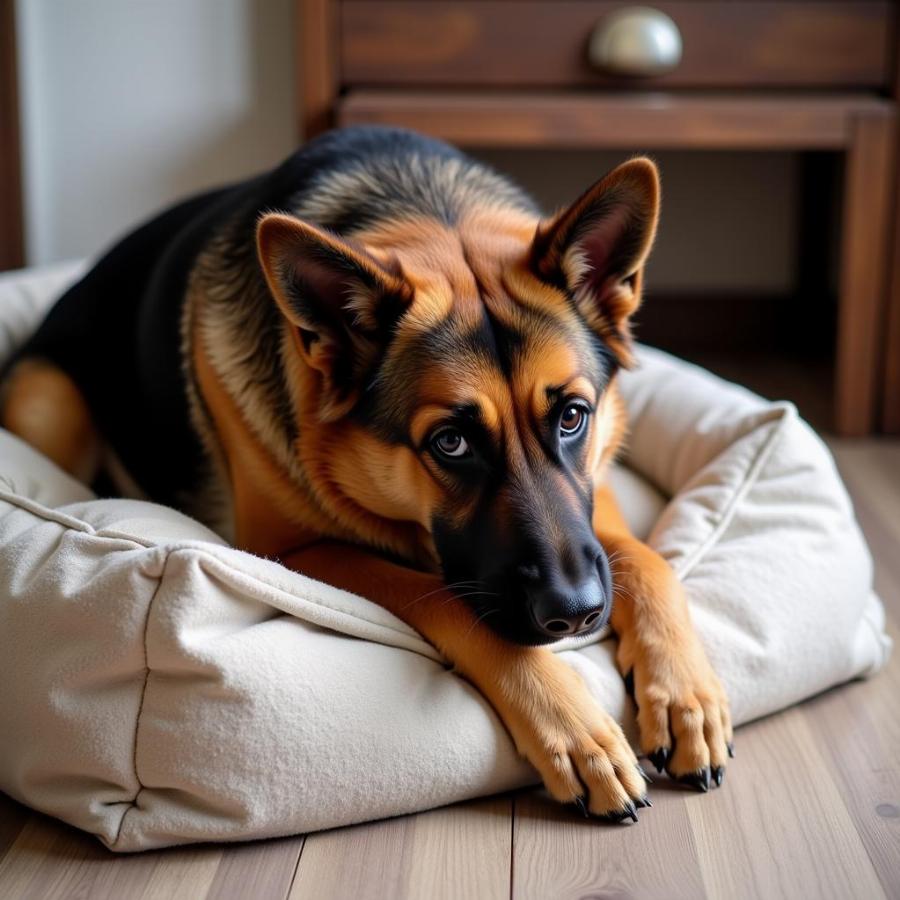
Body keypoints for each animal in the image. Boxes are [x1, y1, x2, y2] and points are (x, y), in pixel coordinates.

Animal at [0, 126, 732, 824]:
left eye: (574, 417)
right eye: (451, 443)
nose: (576, 614)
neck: (427, 206)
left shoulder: (595, 494)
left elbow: (645, 561)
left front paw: (685, 692)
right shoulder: (297, 550)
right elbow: (453, 605)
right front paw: (576, 731)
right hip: (47, 399)